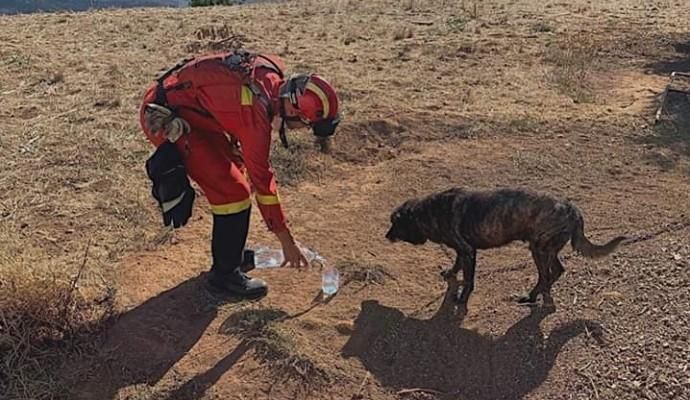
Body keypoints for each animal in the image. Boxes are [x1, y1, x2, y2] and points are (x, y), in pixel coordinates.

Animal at [384, 188, 628, 306]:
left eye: (395, 223)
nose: (386, 236)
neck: (430, 212)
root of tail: (573, 209)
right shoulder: (462, 250)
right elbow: (457, 265)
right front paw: (451, 274)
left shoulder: (468, 252)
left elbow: (468, 280)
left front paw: (462, 298)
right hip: (544, 249)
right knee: (557, 271)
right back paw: (537, 295)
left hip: (539, 250)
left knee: (546, 276)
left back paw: (536, 298)